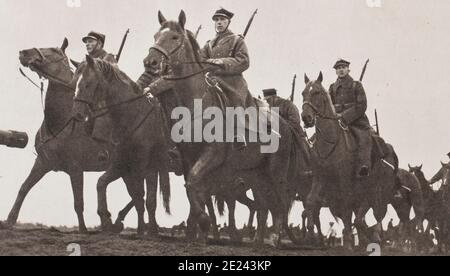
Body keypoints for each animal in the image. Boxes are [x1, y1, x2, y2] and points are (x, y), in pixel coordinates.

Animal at [142, 10, 296, 246]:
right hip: (256, 175)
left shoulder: (212, 154)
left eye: (174, 37)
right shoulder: (188, 158)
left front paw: (203, 224)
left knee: (280, 201)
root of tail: (285, 125)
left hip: (276, 169)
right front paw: (199, 232)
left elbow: (193, 184)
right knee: (265, 204)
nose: (150, 61)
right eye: (156, 35)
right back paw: (259, 240)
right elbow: (193, 188)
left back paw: (273, 239)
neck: (196, 104)